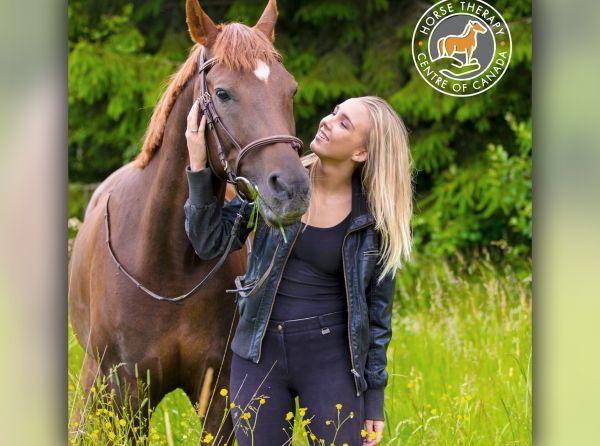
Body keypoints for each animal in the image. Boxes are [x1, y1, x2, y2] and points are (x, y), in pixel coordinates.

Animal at [69, 0, 310, 440]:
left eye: (291, 89)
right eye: (223, 93)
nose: (292, 188)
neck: (170, 261)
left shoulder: (219, 395)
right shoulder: (127, 394)